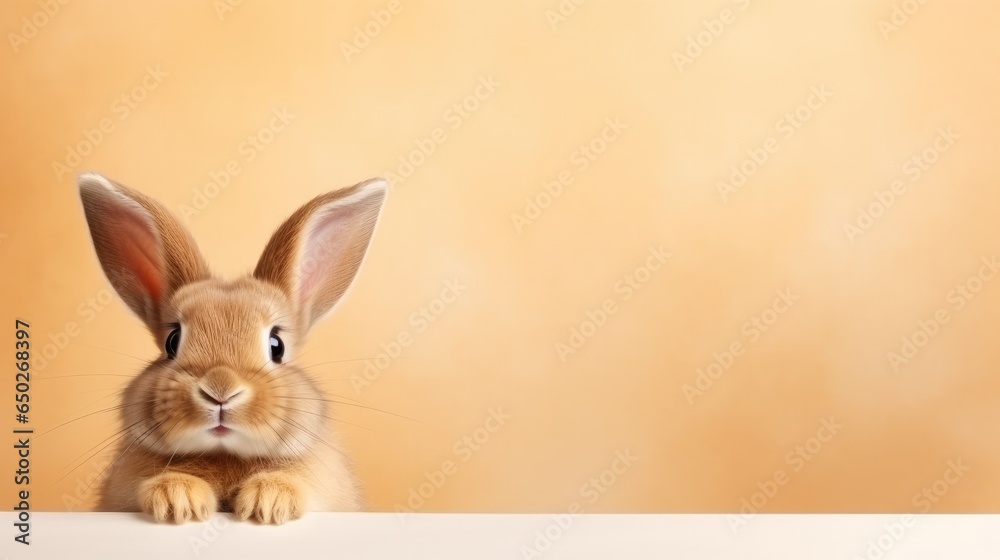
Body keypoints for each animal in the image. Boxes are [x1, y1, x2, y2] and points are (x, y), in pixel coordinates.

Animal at [77, 171, 388, 524]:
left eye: (276, 346)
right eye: (172, 341)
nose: (220, 390)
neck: (224, 455)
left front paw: (268, 502)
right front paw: (177, 500)